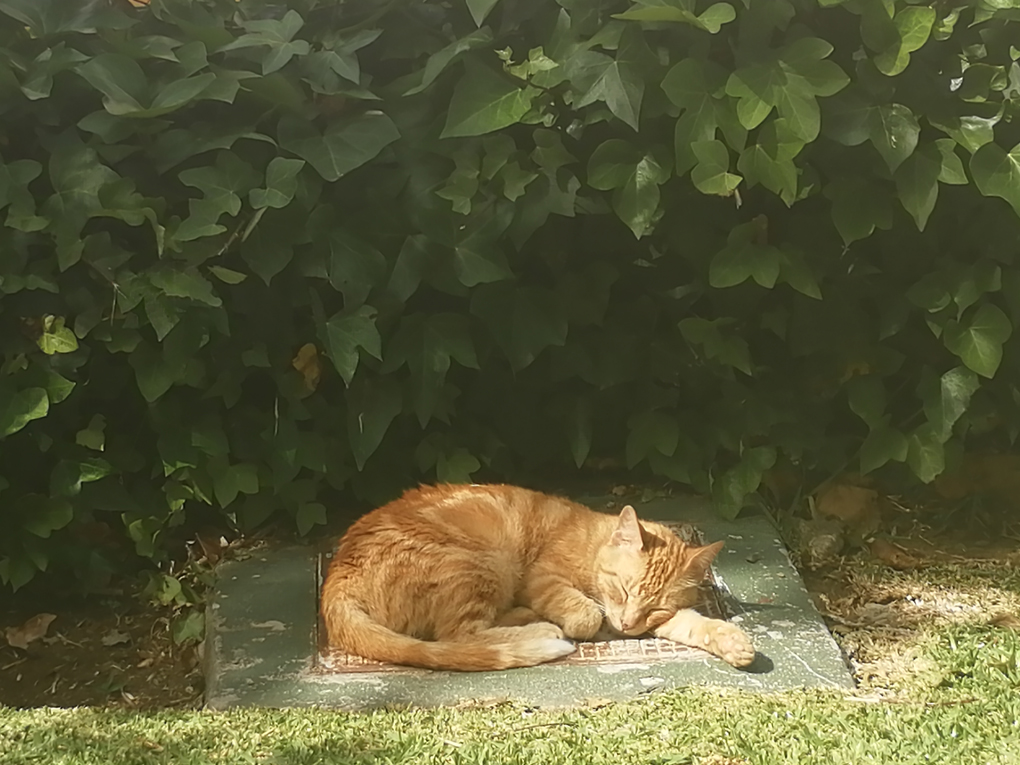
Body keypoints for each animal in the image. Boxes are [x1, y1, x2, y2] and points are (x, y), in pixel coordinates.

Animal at [320, 485, 758, 669]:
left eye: (655, 607)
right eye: (622, 589)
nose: (627, 623)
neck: (592, 543)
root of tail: (337, 575)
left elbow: (693, 624)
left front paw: (731, 641)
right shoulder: (541, 578)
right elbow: (585, 614)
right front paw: (585, 620)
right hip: (482, 561)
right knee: (457, 636)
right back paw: (538, 627)